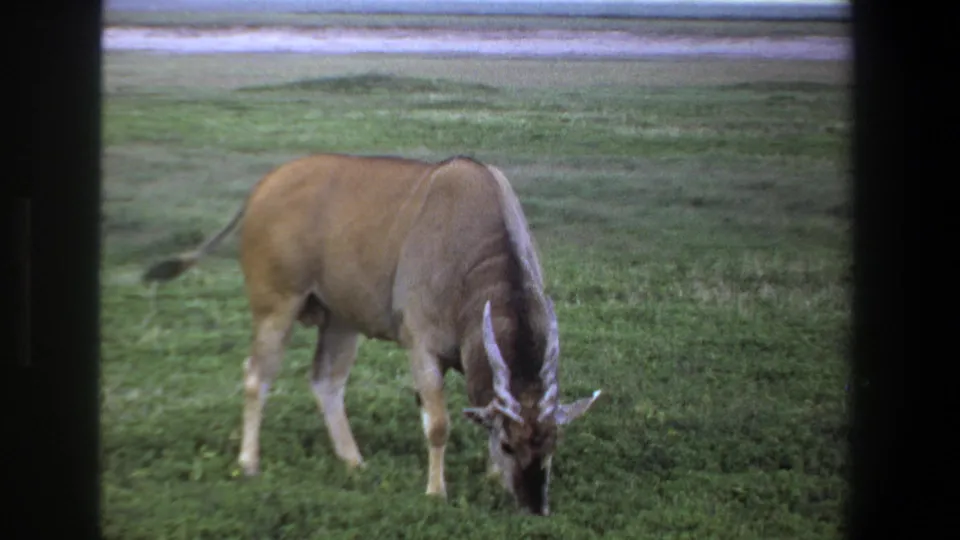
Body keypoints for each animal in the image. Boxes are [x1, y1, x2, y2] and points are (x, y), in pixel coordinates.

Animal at [142, 153, 601, 515]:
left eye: (552, 444)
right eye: (508, 446)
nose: (535, 508)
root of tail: (263, 186)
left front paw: (489, 477)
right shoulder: (421, 346)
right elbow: (438, 424)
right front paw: (436, 492)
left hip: (341, 320)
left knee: (325, 381)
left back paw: (353, 461)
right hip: (277, 305)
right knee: (257, 375)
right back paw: (250, 464)